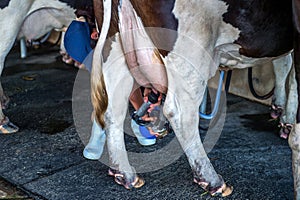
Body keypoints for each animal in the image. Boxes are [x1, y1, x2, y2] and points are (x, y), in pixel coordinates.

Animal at [91, 0, 300, 198]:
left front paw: (283, 115)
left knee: (113, 110)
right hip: (192, 47)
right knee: (180, 114)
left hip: (115, 45)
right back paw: (211, 179)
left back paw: (124, 173)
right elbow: (288, 72)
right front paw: (287, 119)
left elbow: (285, 67)